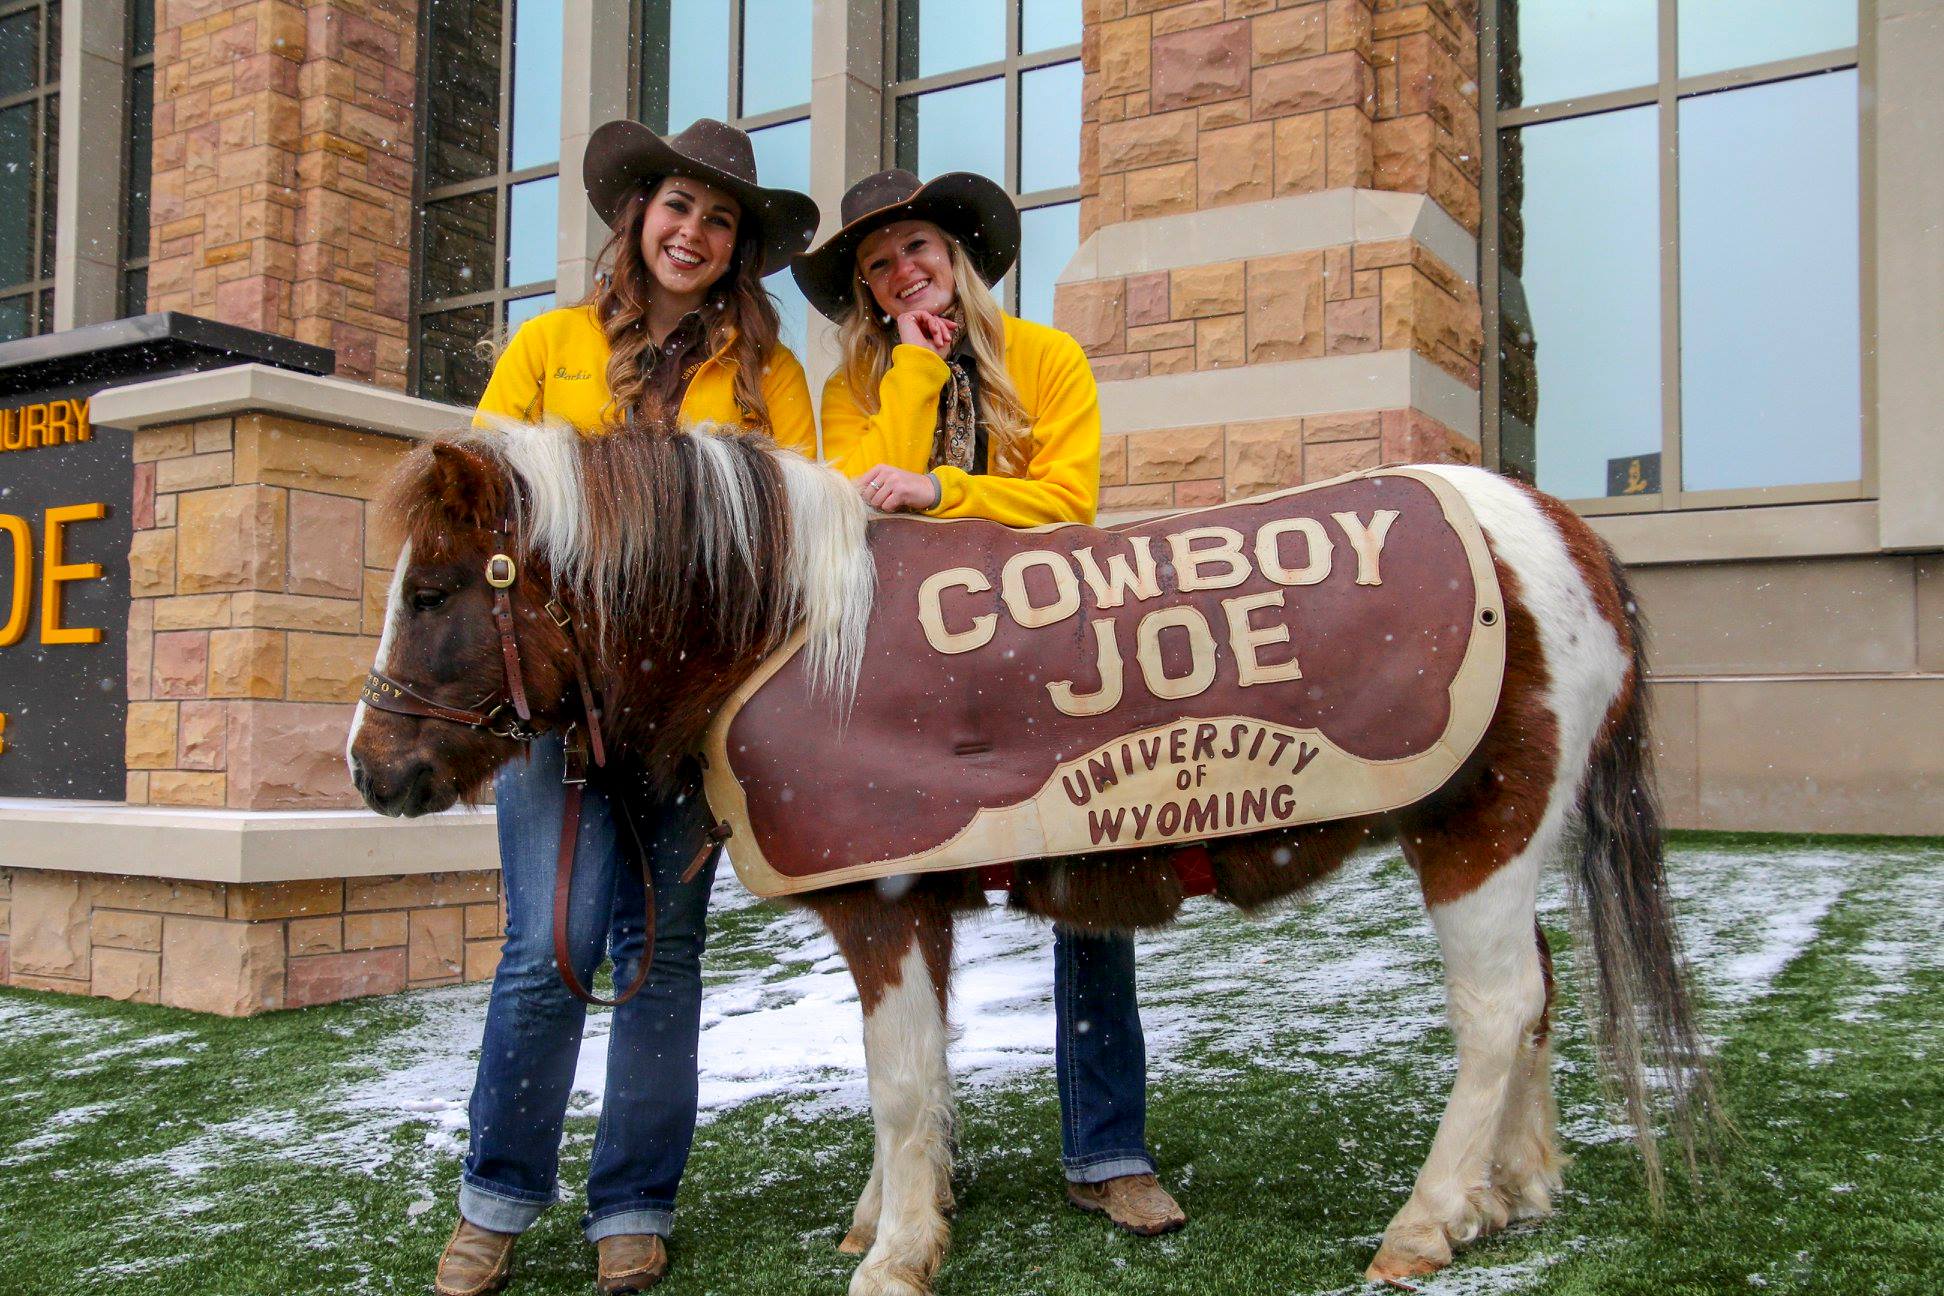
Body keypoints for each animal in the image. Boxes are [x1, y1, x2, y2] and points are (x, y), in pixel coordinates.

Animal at [349, 421, 1718, 1290]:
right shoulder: (911, 897)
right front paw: (890, 1217)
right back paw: (1514, 1190)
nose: (370, 769)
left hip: (1481, 827)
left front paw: (899, 1255)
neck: (791, 629)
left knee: (1496, 1009)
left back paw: (1427, 1222)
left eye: (432, 593)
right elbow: (916, 1077)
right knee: (1538, 998)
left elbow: (901, 1080)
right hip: (1492, 832)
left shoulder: (884, 901)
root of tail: (1559, 532)